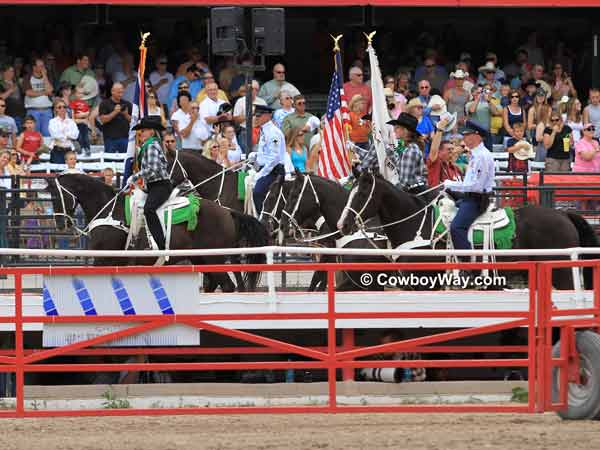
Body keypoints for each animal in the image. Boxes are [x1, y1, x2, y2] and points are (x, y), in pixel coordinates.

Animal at [48, 172, 268, 292]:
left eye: (56, 196)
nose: (60, 224)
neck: (109, 210)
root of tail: (228, 212)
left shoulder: (103, 259)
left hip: (214, 259)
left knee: (228, 286)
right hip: (200, 259)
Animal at [340, 171, 596, 290]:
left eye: (361, 194)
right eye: (349, 192)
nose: (343, 224)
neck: (417, 225)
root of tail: (564, 215)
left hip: (562, 273)